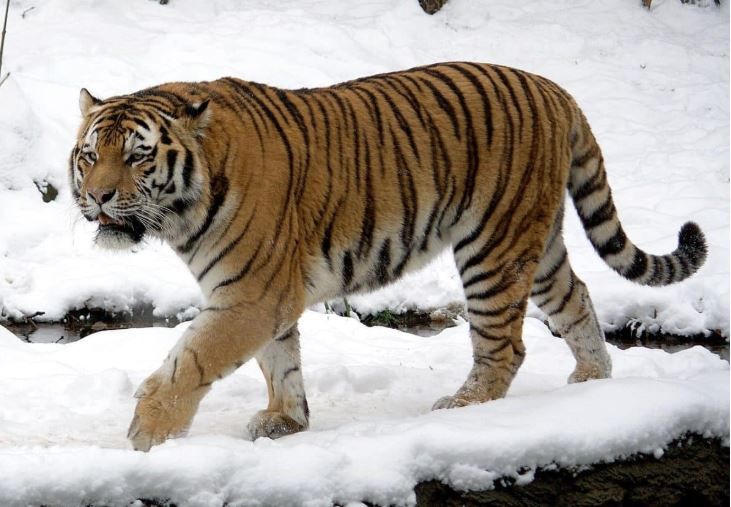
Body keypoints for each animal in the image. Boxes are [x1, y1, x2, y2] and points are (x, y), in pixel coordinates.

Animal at [69, 62, 707, 452]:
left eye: (137, 156)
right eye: (90, 155)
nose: (97, 196)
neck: (183, 210)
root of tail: (555, 89)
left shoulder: (251, 295)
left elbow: (192, 361)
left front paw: (147, 435)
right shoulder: (263, 294)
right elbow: (280, 361)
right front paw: (286, 420)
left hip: (492, 246)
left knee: (506, 344)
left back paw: (463, 407)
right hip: (537, 240)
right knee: (575, 297)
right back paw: (591, 382)